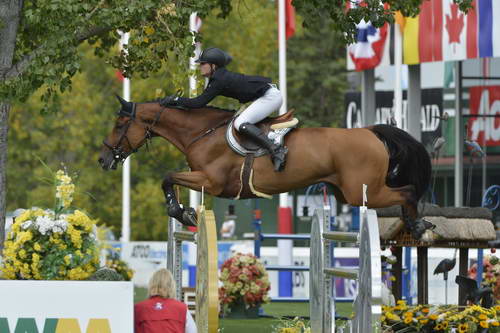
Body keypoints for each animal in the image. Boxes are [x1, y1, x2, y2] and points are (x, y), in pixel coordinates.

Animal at [98, 96, 434, 239]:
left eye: (119, 124)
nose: (103, 159)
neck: (202, 132)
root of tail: (370, 132)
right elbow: (169, 180)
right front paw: (183, 211)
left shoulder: (211, 181)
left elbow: (167, 177)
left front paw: (182, 212)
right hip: (344, 193)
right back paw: (417, 224)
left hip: (361, 192)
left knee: (407, 191)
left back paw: (417, 225)